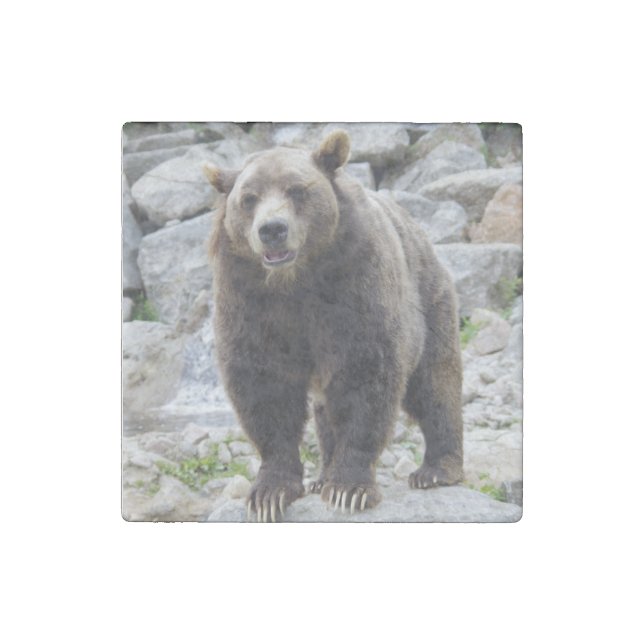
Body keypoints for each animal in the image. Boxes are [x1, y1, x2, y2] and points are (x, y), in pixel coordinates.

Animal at [203, 130, 463, 522]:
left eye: (297, 190)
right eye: (248, 199)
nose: (272, 230)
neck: (296, 282)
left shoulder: (355, 283)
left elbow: (365, 378)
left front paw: (349, 488)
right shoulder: (248, 299)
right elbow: (263, 387)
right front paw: (270, 493)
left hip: (429, 300)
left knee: (435, 383)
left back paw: (437, 469)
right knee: (325, 409)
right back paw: (321, 476)